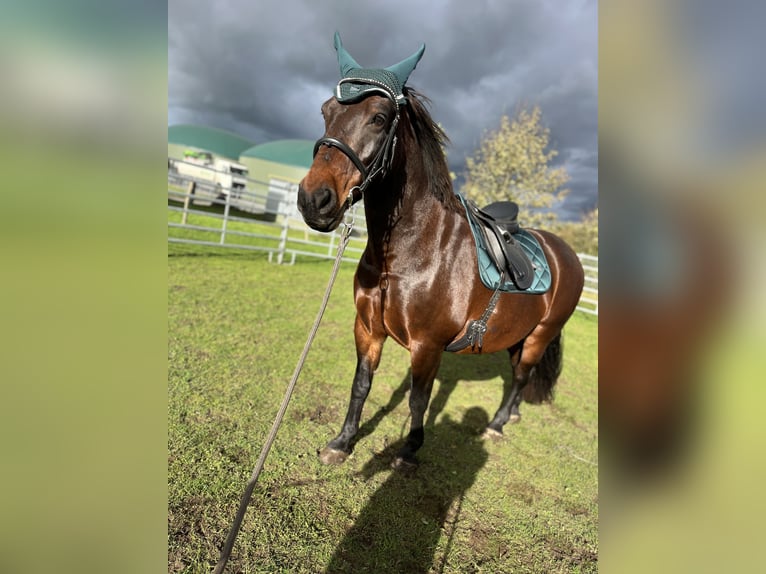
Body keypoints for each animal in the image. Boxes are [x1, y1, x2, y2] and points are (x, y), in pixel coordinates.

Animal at [296, 35, 584, 468]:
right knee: (523, 373)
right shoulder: (367, 329)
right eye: (326, 111)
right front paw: (342, 442)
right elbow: (361, 384)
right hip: (521, 333)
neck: (409, 255)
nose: (314, 200)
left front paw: (409, 450)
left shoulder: (427, 346)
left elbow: (419, 399)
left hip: (542, 333)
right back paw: (513, 414)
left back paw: (497, 424)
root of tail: (567, 253)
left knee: (521, 375)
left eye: (379, 117)